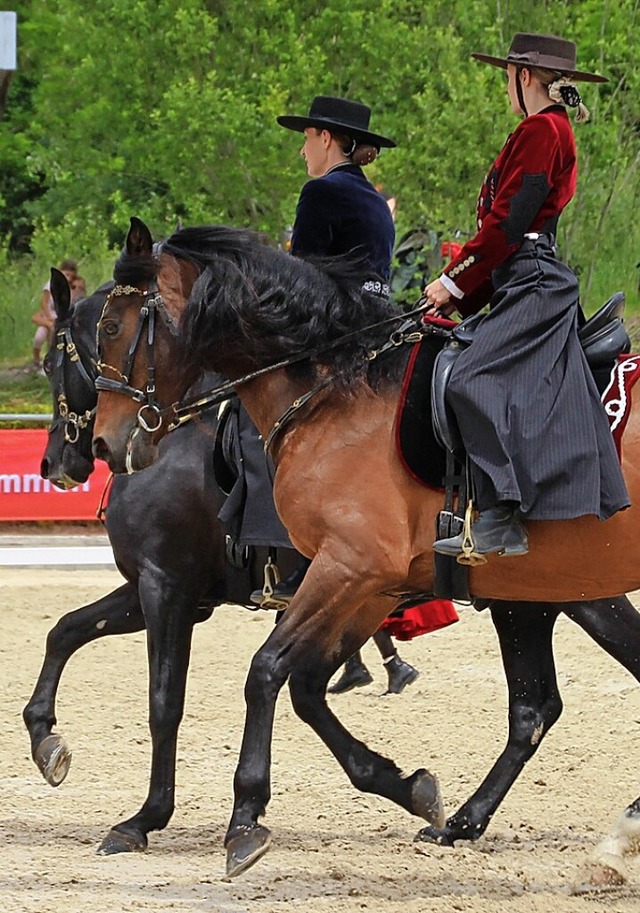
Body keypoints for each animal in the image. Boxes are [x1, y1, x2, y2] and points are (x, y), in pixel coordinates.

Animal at [26, 268, 298, 856]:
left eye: (52, 363)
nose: (53, 464)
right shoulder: (166, 591)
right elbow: (65, 630)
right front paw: (45, 739)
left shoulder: (164, 589)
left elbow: (164, 701)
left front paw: (146, 817)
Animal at [92, 216, 640, 884]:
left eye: (112, 328)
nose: (104, 443)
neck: (335, 394)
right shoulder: (369, 582)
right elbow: (303, 682)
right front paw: (409, 787)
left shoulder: (339, 568)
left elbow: (261, 671)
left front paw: (243, 819)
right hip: (534, 595)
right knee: (534, 708)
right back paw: (473, 822)